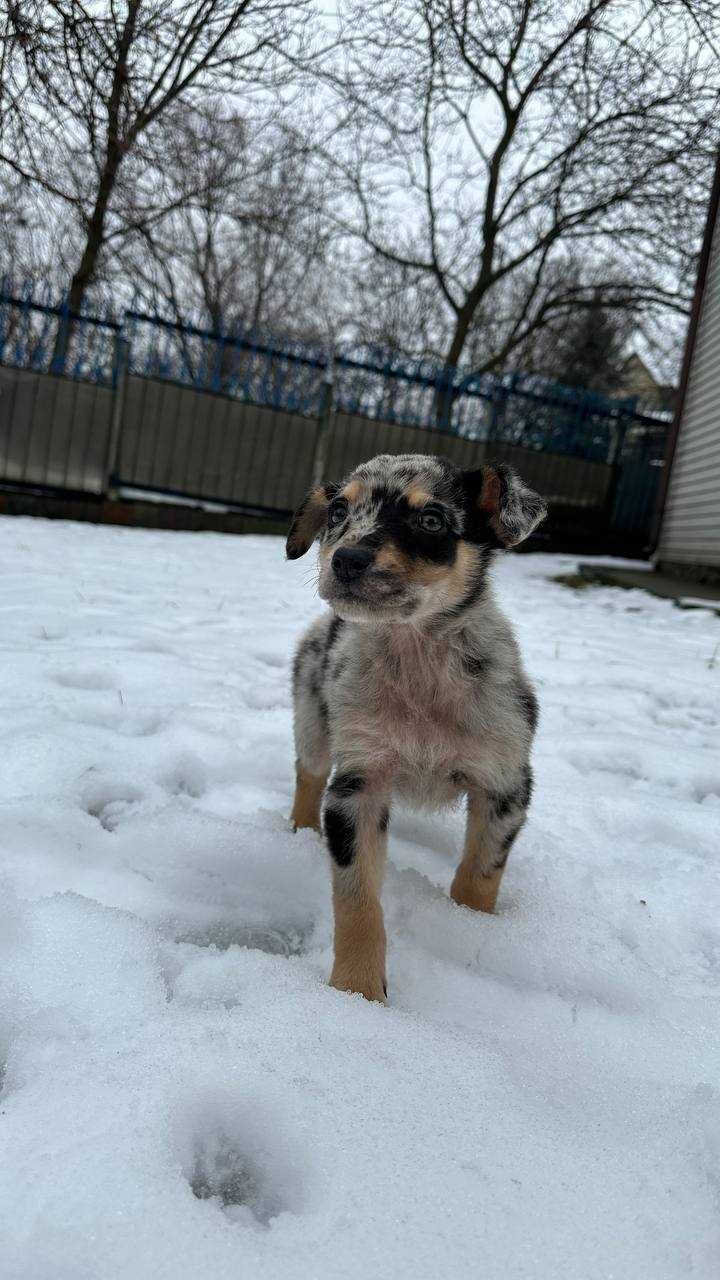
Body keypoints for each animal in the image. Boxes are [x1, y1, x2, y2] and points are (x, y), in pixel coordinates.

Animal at [285, 455, 543, 1003]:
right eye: (338, 511)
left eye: (431, 520)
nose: (347, 560)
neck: (418, 663)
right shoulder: (358, 785)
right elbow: (357, 900)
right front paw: (356, 994)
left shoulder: (506, 784)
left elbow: (479, 874)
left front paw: (469, 925)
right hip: (312, 718)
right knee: (307, 776)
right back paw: (298, 832)